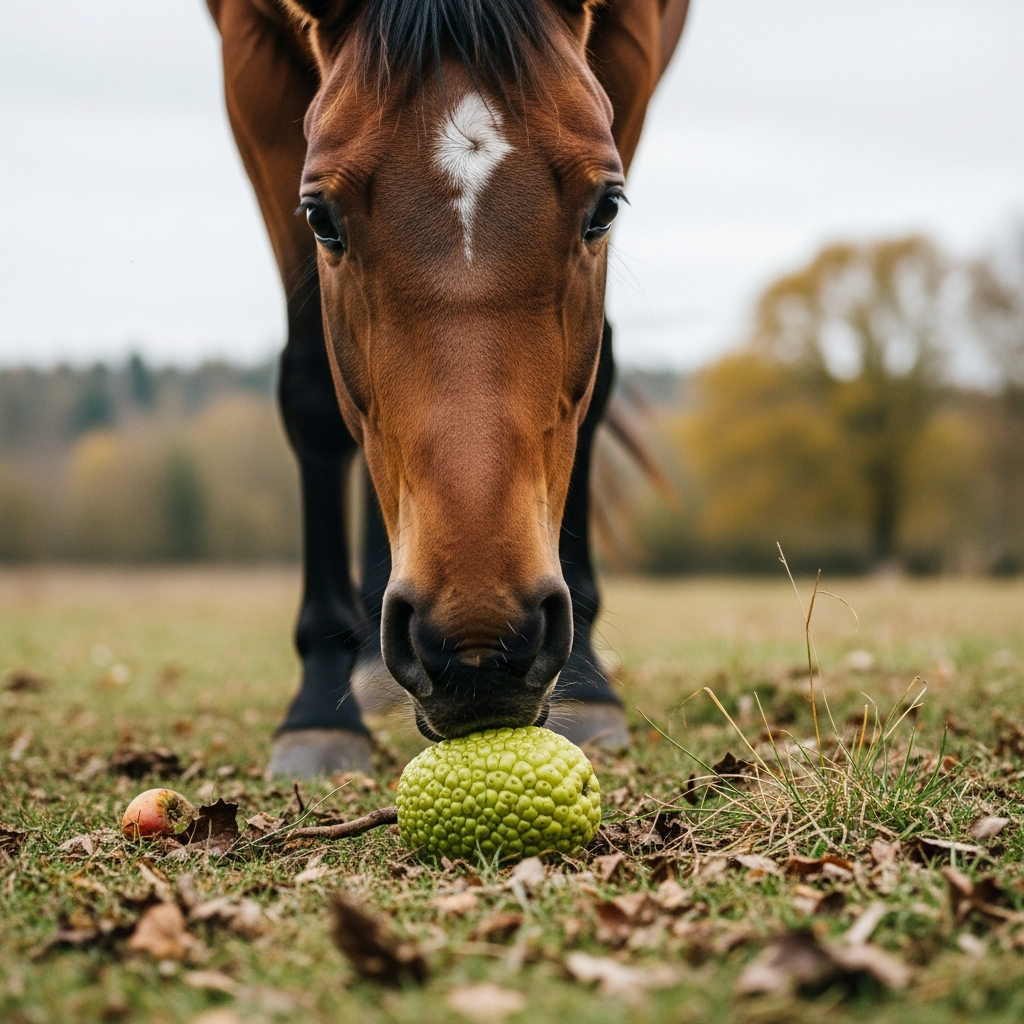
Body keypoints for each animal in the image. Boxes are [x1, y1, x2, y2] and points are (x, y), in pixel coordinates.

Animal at [205, 0, 690, 778]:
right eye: (320, 218)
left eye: (606, 208)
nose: (479, 646)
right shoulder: (249, 62)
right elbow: (314, 391)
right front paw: (316, 710)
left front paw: (589, 680)